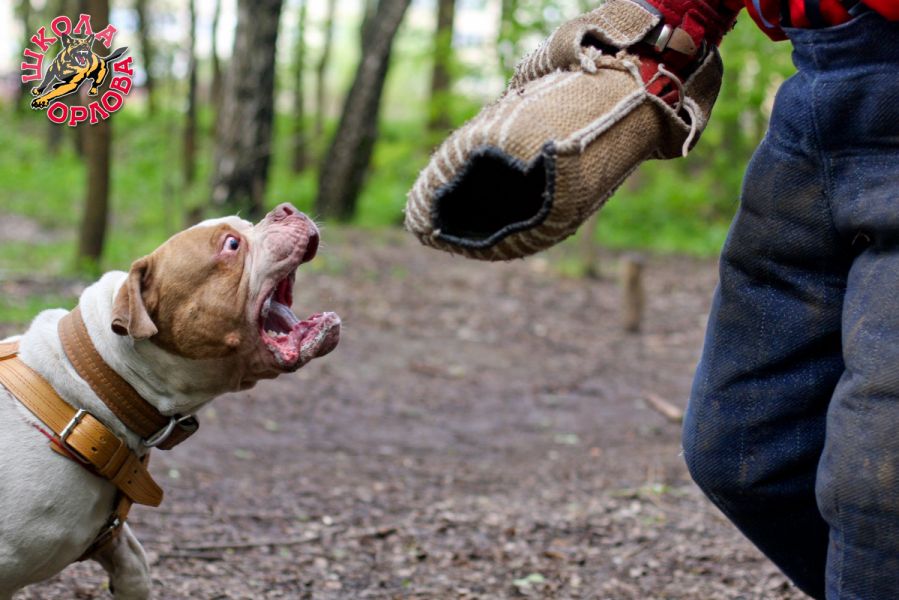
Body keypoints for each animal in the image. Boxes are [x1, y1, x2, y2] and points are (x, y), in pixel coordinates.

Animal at [0, 204, 340, 599]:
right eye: (232, 244)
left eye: (245, 225)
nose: (285, 209)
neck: (89, 387)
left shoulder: (113, 539)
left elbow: (134, 568)